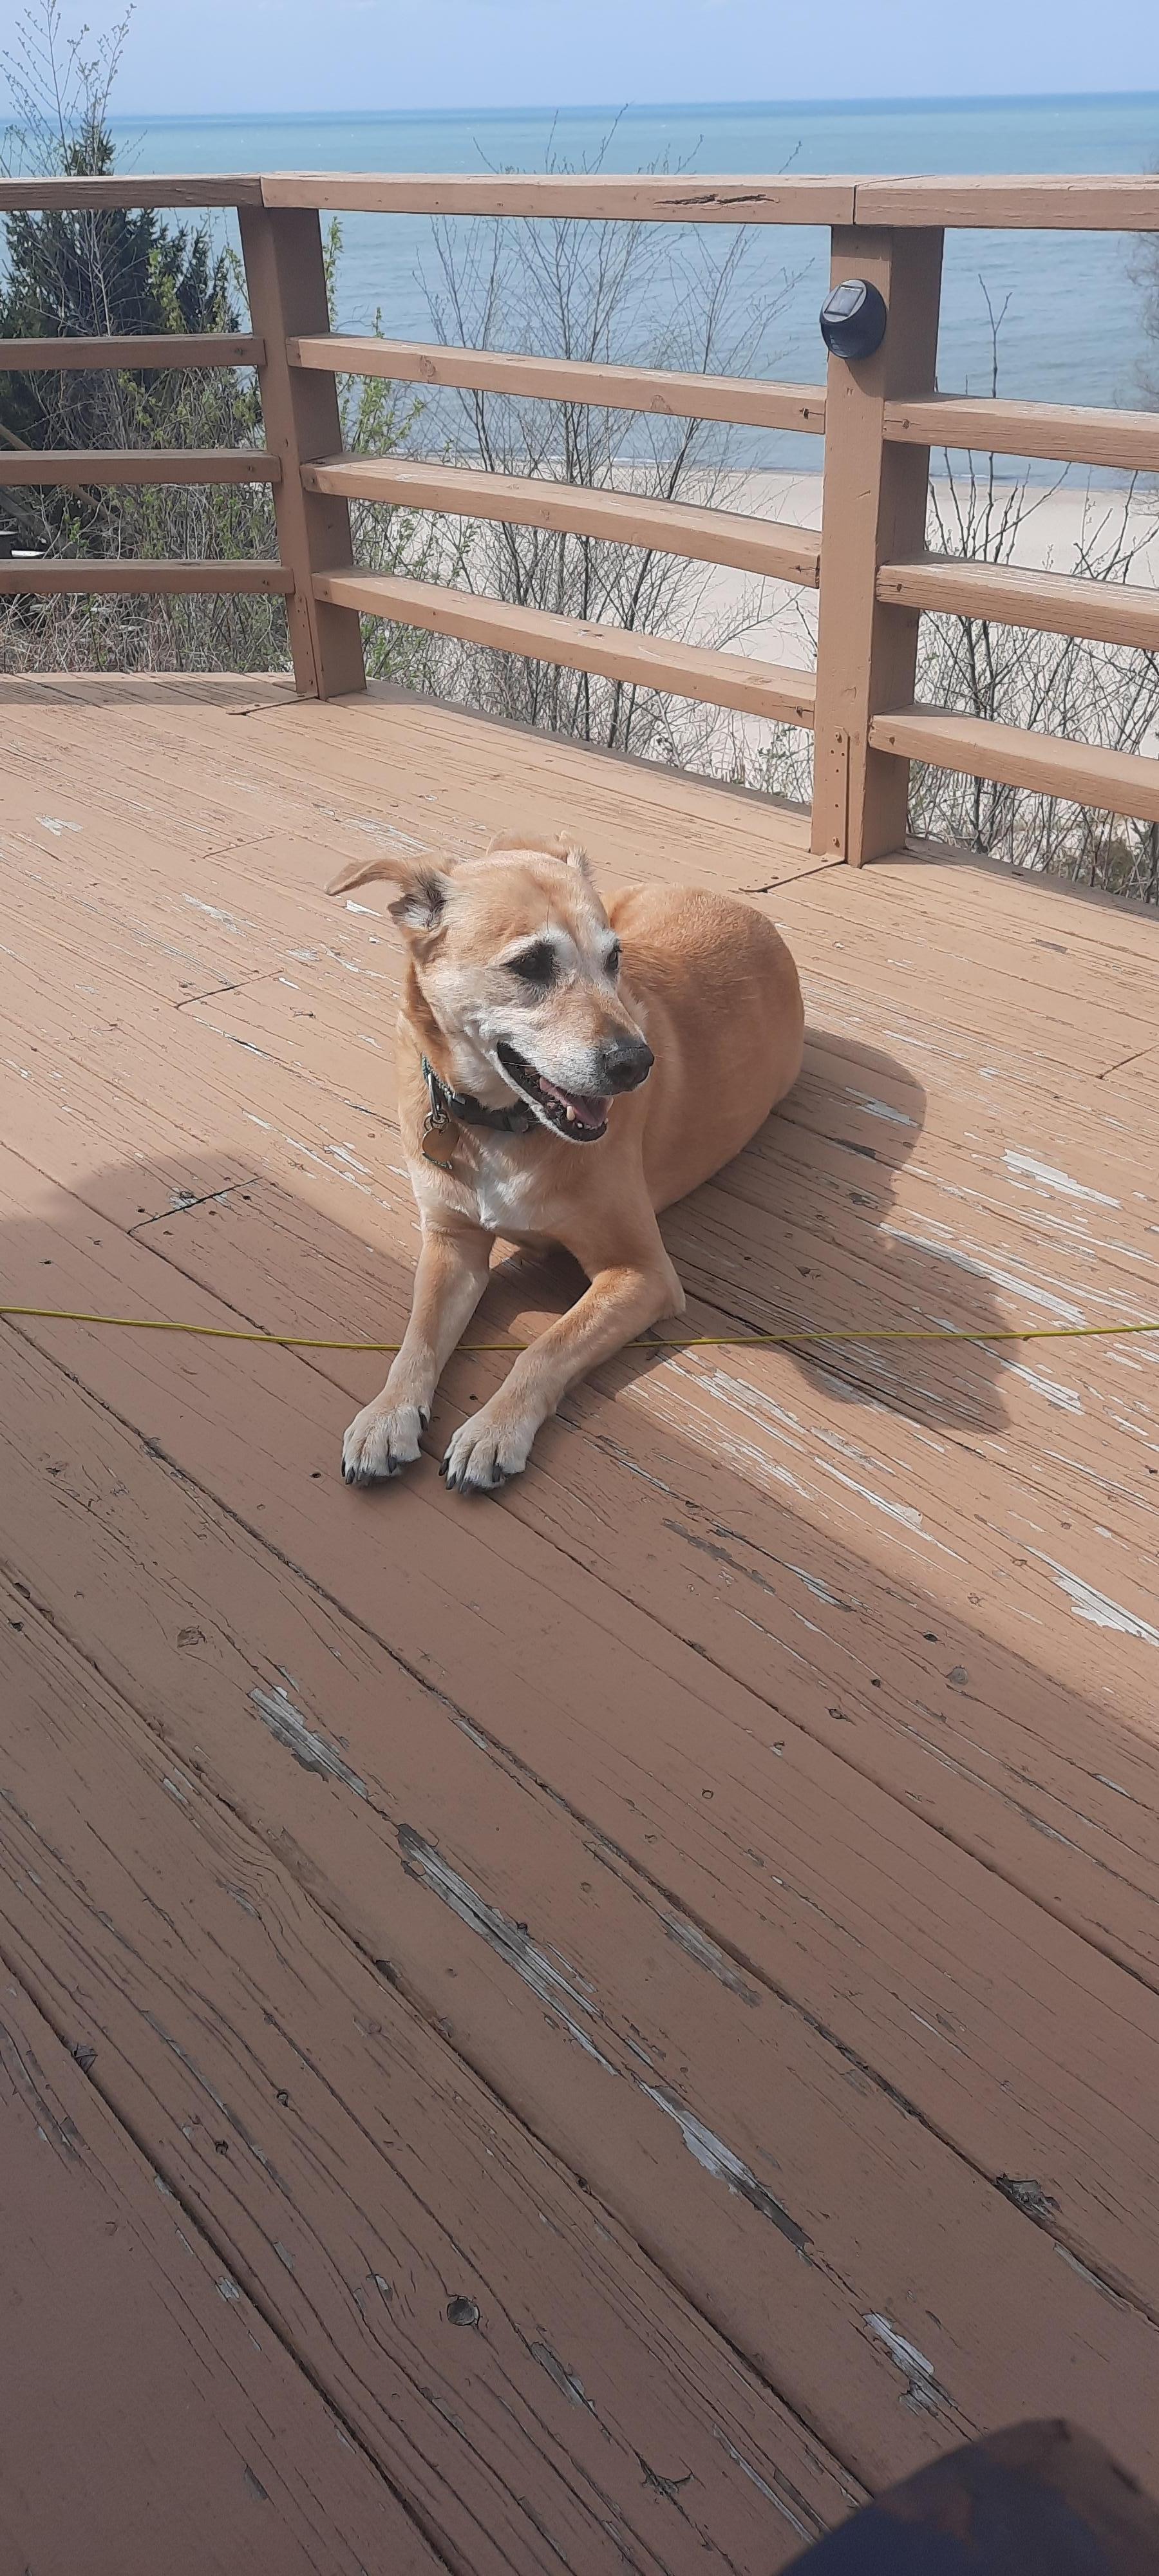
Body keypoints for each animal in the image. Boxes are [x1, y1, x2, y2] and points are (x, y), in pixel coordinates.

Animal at [327, 832, 803, 1494]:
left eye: (614, 961)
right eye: (530, 965)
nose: (637, 1064)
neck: (501, 1124)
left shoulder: (641, 1273)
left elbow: (546, 1347)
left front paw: (494, 1429)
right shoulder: (451, 1244)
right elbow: (417, 1338)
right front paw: (387, 1415)